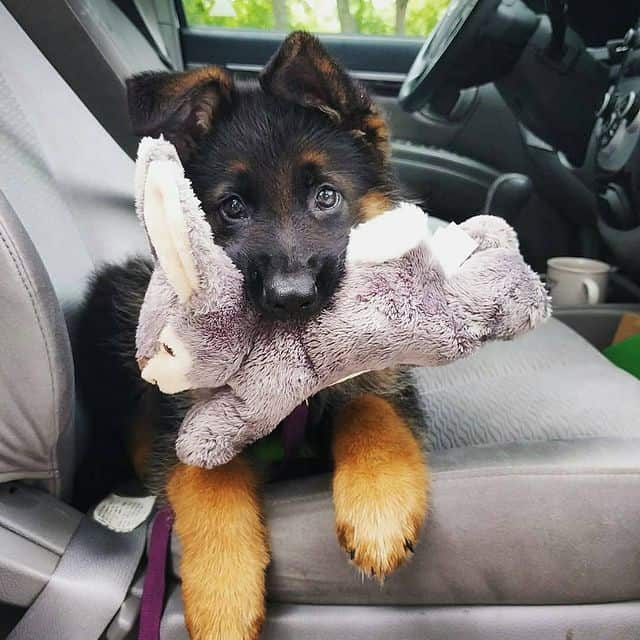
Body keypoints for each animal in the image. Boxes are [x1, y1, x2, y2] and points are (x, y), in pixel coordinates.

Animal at [72, 31, 428, 640]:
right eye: (232, 207)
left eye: (326, 196)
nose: (291, 298)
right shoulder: (191, 422)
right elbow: (207, 481)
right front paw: (223, 598)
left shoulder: (387, 380)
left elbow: (369, 406)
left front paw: (379, 504)